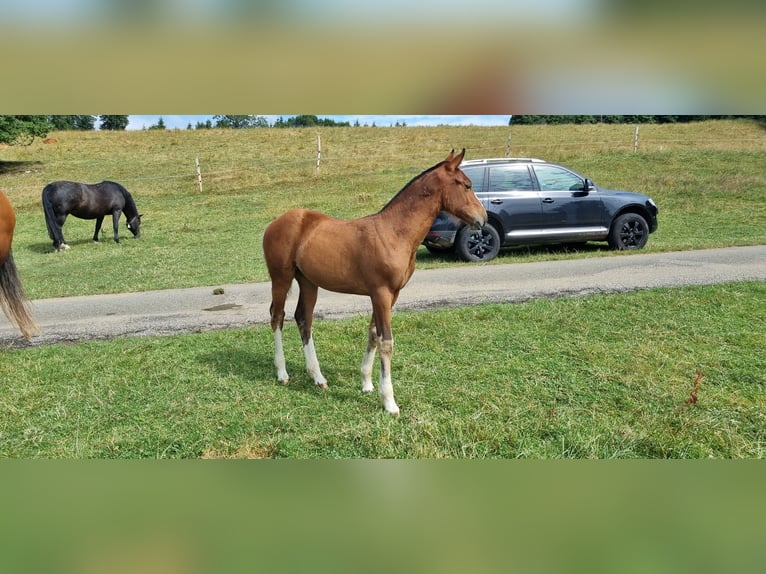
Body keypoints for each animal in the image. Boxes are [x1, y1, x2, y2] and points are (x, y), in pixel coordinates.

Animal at [262, 149, 487, 415]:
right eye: (467, 184)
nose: (483, 219)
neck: (394, 232)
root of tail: (275, 223)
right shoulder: (381, 293)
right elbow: (386, 341)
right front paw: (389, 401)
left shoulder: (390, 294)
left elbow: (372, 334)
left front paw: (367, 383)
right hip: (281, 277)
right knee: (277, 316)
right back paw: (282, 373)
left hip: (308, 281)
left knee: (303, 319)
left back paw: (318, 377)